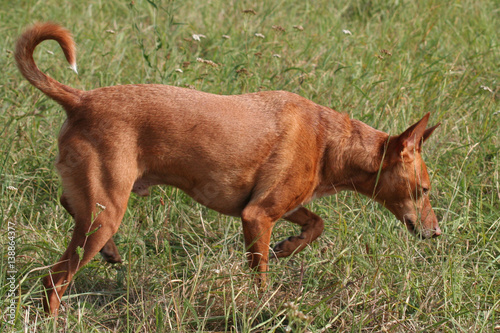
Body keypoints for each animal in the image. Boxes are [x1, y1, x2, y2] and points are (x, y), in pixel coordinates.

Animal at [13, 22, 440, 314]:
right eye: (423, 190)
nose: (437, 233)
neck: (329, 140)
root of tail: (80, 99)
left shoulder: (277, 205)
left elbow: (315, 223)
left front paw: (288, 247)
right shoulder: (257, 215)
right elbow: (261, 274)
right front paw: (266, 306)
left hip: (100, 204)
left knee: (70, 207)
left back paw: (111, 253)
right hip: (105, 213)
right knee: (54, 278)